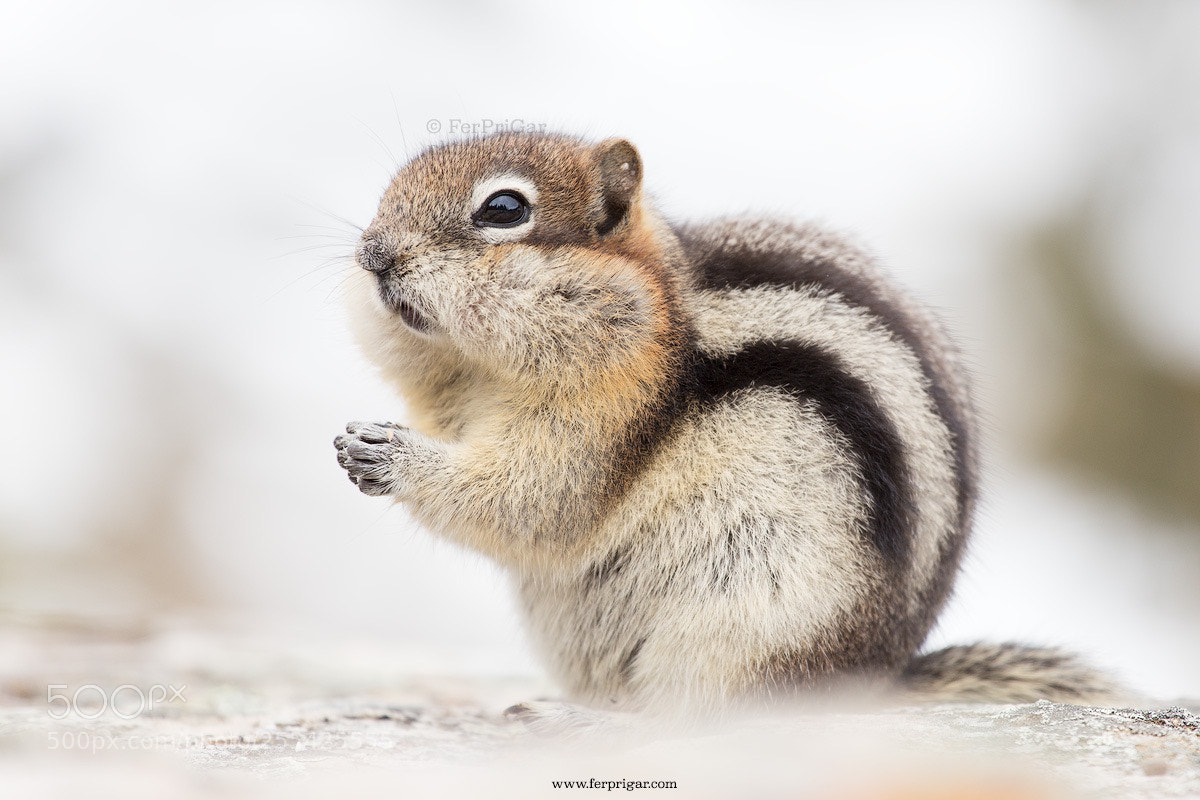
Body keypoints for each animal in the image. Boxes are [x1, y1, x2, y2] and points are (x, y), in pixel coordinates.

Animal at [333, 131, 1124, 723]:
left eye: (503, 208)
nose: (373, 253)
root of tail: (865, 686)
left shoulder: (604, 415)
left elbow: (538, 503)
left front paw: (393, 457)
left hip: (744, 622)